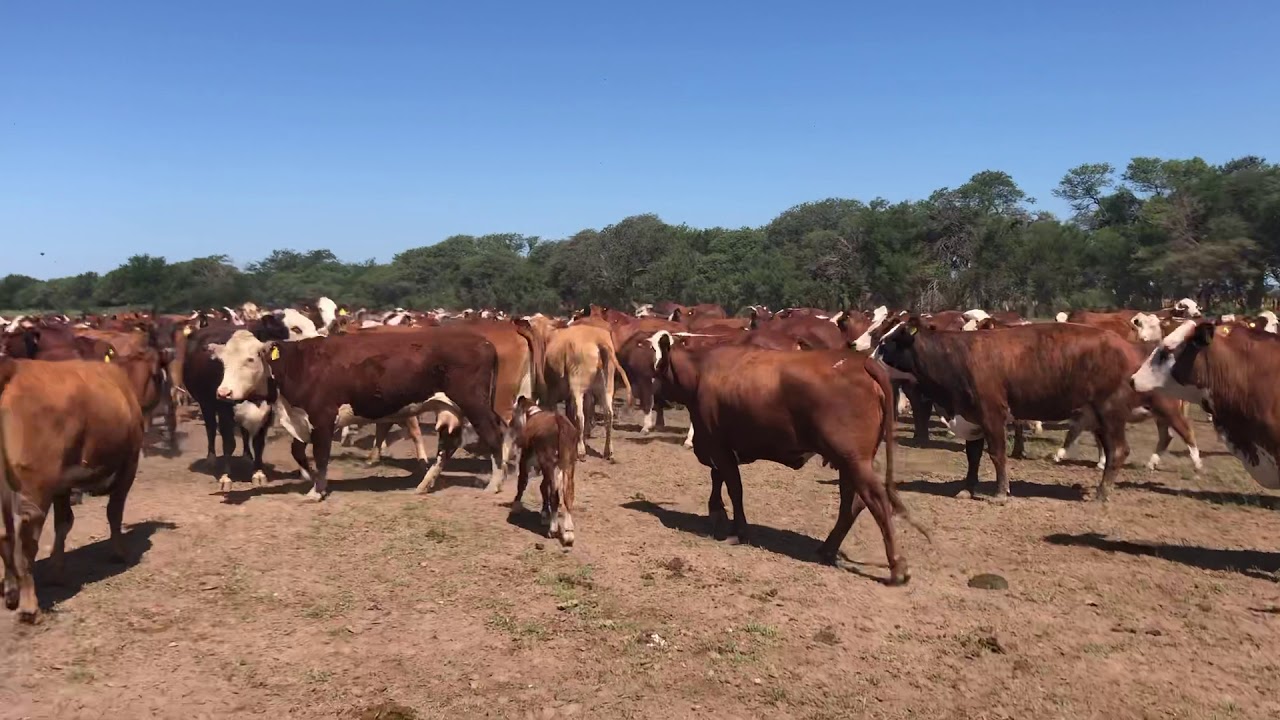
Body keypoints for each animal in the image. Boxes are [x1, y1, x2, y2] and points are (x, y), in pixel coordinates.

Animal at [0, 358, 144, 623]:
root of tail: (15, 367)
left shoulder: (63, 483)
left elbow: (64, 522)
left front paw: (57, 572)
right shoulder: (129, 463)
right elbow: (114, 511)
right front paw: (120, 552)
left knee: (5, 534)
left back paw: (12, 592)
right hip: (36, 487)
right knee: (26, 539)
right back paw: (29, 607)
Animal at [211, 327, 507, 500]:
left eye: (251, 359)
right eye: (223, 361)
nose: (223, 392)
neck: (299, 366)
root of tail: (483, 341)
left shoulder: (322, 417)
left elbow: (321, 454)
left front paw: (317, 491)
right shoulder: (301, 418)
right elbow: (298, 452)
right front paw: (312, 480)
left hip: (474, 404)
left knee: (494, 435)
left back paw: (494, 484)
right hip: (450, 408)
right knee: (449, 443)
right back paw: (425, 484)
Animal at [509, 396, 579, 547]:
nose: (510, 424)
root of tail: (560, 421)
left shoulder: (525, 458)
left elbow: (522, 481)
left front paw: (516, 506)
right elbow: (543, 487)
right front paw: (545, 513)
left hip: (549, 463)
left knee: (555, 496)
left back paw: (553, 530)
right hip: (568, 464)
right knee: (568, 495)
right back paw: (568, 533)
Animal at [648, 330, 926, 584]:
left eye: (658, 370)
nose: (655, 395)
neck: (700, 373)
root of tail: (862, 362)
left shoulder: (717, 444)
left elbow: (734, 487)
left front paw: (737, 531)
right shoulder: (718, 445)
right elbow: (719, 479)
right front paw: (717, 514)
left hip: (853, 460)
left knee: (876, 500)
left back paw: (897, 567)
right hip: (849, 462)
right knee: (852, 503)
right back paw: (827, 550)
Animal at [875, 318, 1139, 502]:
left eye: (888, 343)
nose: (871, 359)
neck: (956, 357)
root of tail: (1125, 346)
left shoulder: (992, 414)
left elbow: (997, 453)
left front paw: (1001, 492)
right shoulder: (972, 418)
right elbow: (973, 456)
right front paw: (967, 489)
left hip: (1110, 412)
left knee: (1119, 450)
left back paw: (1102, 493)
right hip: (1098, 417)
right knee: (1111, 450)